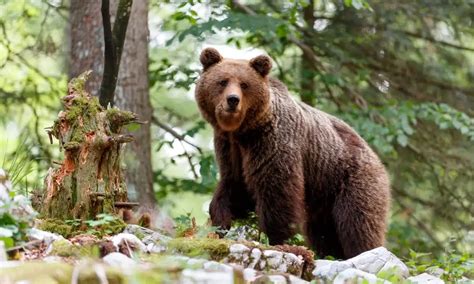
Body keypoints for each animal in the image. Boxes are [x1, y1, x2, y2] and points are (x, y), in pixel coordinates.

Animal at [194, 47, 390, 260]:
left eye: (244, 84)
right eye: (222, 81)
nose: (232, 100)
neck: (244, 130)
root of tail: (376, 158)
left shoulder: (272, 142)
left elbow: (277, 191)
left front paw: (278, 239)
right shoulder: (230, 148)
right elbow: (233, 186)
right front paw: (219, 221)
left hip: (351, 178)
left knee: (357, 223)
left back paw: (363, 250)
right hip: (324, 195)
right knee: (324, 232)